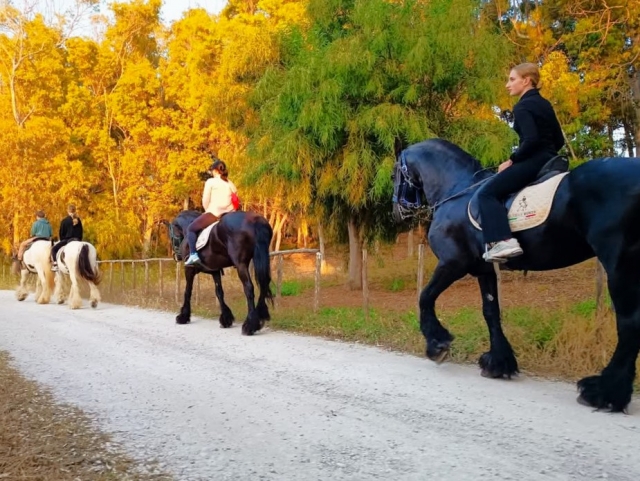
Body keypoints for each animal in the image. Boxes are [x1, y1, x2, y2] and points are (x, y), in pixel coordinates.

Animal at [392, 137, 640, 412]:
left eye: (394, 174)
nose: (396, 212)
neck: (456, 189)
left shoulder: (453, 263)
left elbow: (425, 297)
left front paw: (437, 345)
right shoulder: (485, 269)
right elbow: (491, 312)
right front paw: (498, 363)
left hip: (619, 265)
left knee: (629, 323)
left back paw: (603, 392)